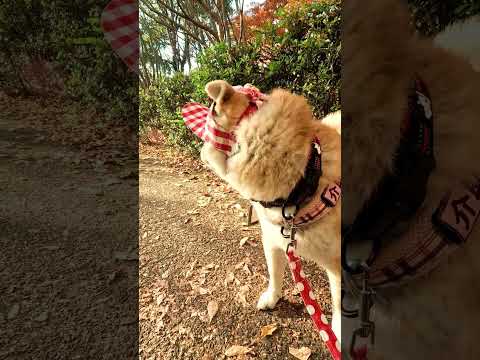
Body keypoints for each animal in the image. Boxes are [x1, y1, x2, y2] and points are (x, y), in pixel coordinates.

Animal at [199, 81, 342, 338]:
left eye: (207, 133)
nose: (200, 150)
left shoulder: (337, 263)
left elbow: (338, 303)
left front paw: (337, 331)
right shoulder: (275, 241)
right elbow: (275, 274)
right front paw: (272, 298)